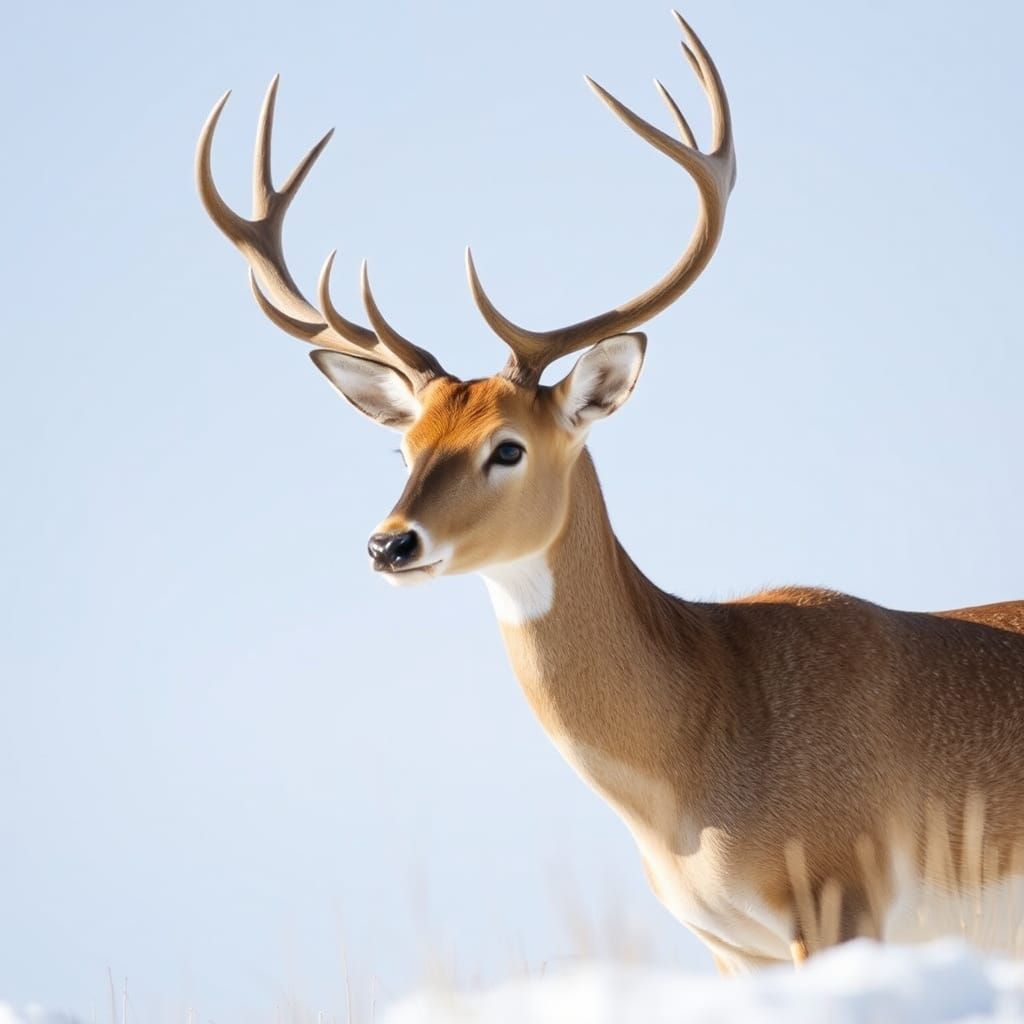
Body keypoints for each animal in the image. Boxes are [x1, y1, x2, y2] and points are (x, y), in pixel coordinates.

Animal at [196, 13, 1024, 975]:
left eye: (508, 446)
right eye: (405, 444)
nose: (389, 542)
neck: (703, 742)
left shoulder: (841, 891)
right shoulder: (729, 943)